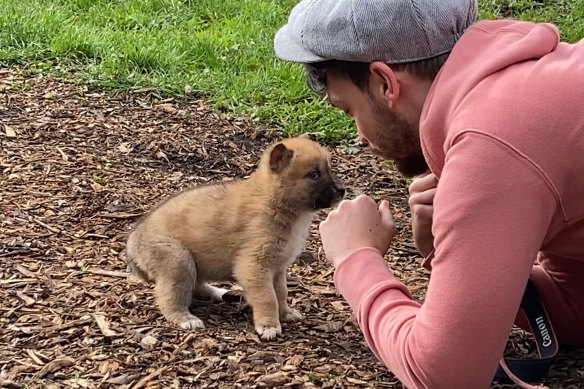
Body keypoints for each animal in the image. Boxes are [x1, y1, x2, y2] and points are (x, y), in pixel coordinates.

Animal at [126, 138, 344, 338]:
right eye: (313, 174)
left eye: (329, 168)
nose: (342, 191)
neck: (273, 202)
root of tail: (133, 243)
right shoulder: (254, 267)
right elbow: (268, 297)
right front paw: (269, 325)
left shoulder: (278, 269)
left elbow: (281, 293)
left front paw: (285, 313)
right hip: (178, 261)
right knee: (170, 297)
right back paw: (185, 318)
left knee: (196, 285)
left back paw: (216, 292)